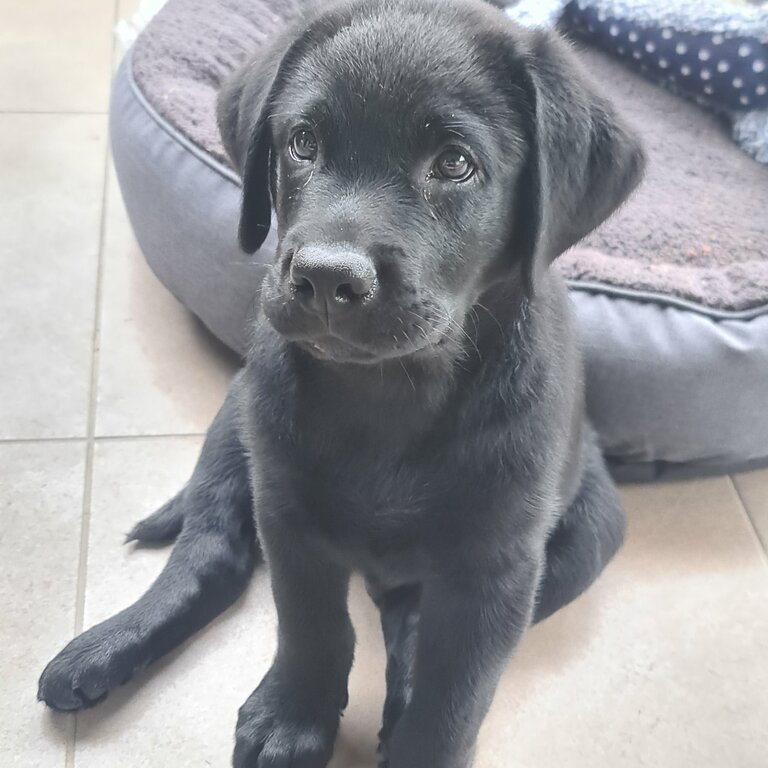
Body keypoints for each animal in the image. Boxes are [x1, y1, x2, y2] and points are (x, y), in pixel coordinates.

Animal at [39, 3, 644, 764]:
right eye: (302, 141)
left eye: (455, 163)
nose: (327, 278)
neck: (388, 394)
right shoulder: (287, 513)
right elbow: (313, 626)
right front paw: (294, 715)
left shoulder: (497, 571)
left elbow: (455, 695)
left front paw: (413, 738)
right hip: (236, 423)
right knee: (210, 556)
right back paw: (103, 649)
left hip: (588, 532)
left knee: (409, 621)